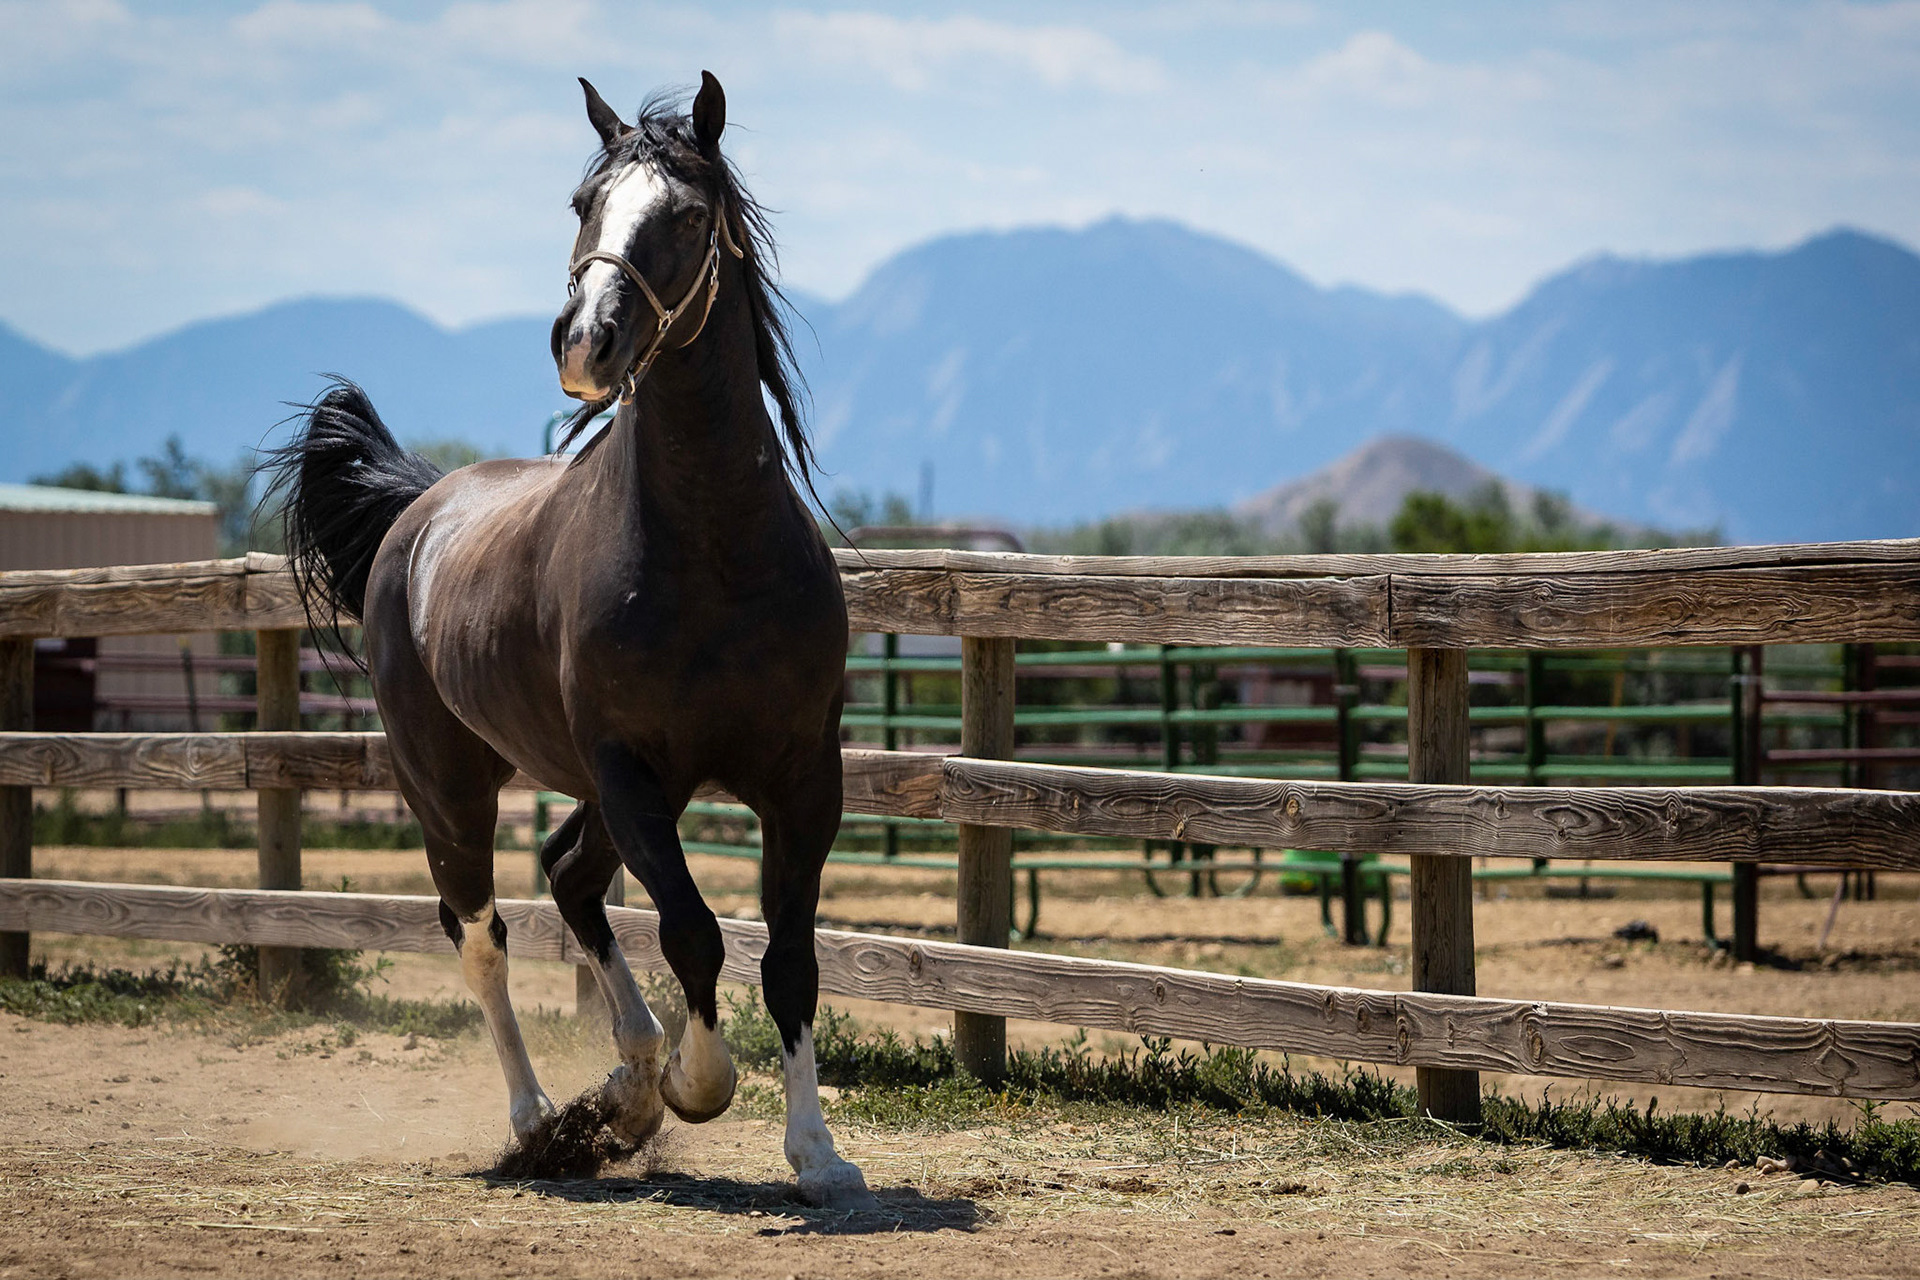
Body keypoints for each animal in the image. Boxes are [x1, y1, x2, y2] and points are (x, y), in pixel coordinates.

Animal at [265, 73, 874, 1208]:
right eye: (583, 202)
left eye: (687, 216)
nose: (584, 341)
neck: (716, 552)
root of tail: (421, 509)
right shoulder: (631, 768)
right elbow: (692, 930)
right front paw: (695, 1083)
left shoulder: (802, 778)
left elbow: (790, 960)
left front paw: (816, 1155)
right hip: (452, 790)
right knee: (483, 935)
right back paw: (545, 1118)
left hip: (599, 790)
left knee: (568, 876)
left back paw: (624, 1082)